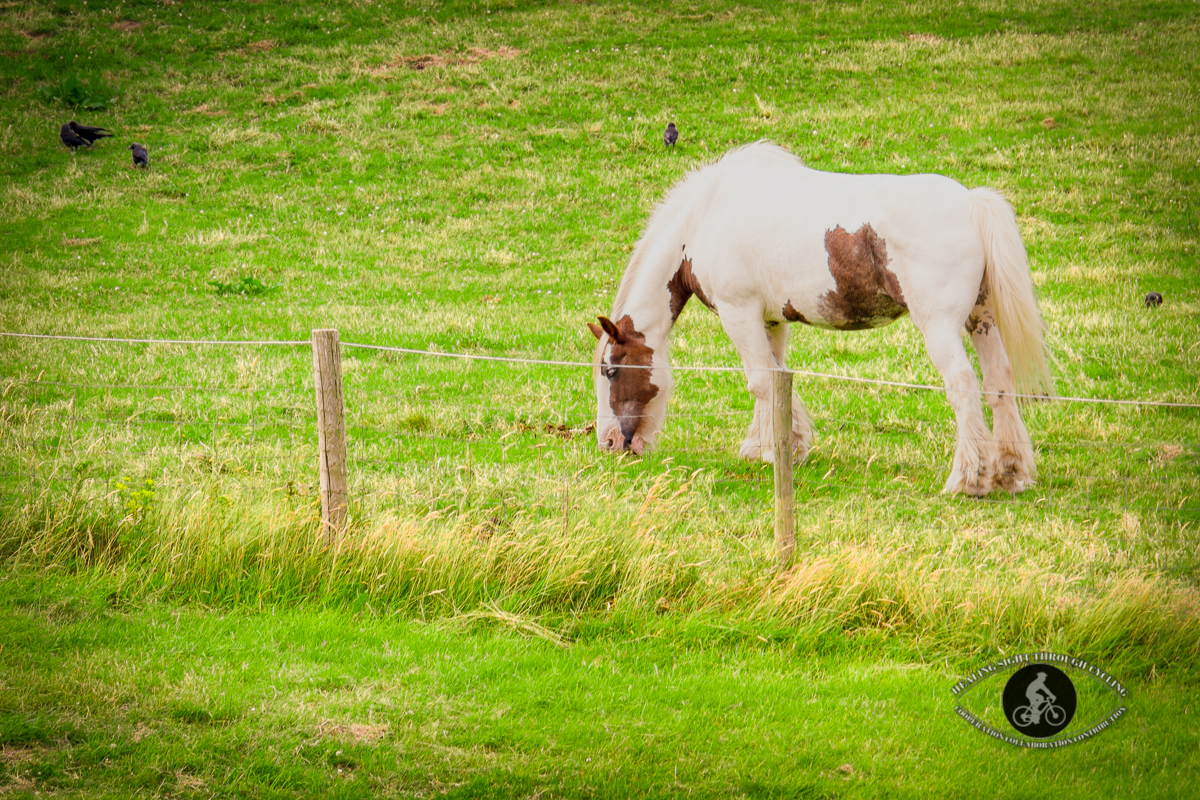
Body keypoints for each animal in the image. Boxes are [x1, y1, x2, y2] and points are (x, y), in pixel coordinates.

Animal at [585, 140, 1056, 496]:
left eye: (610, 370)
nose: (608, 442)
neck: (706, 217)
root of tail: (971, 202)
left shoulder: (739, 314)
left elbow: (759, 380)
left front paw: (771, 451)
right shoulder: (770, 321)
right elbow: (777, 377)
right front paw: (776, 445)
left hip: (941, 328)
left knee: (963, 386)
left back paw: (967, 478)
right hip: (982, 320)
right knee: (999, 383)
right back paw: (1008, 472)